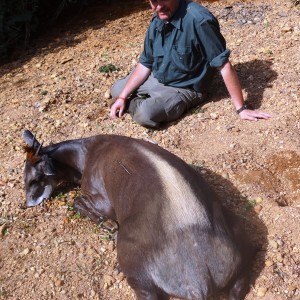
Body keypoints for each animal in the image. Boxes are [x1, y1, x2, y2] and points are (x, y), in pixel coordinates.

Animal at [22, 129, 254, 300]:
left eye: (34, 179)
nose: (27, 205)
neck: (84, 154)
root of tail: (200, 281)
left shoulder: (101, 198)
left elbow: (77, 203)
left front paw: (109, 225)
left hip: (136, 270)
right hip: (238, 241)